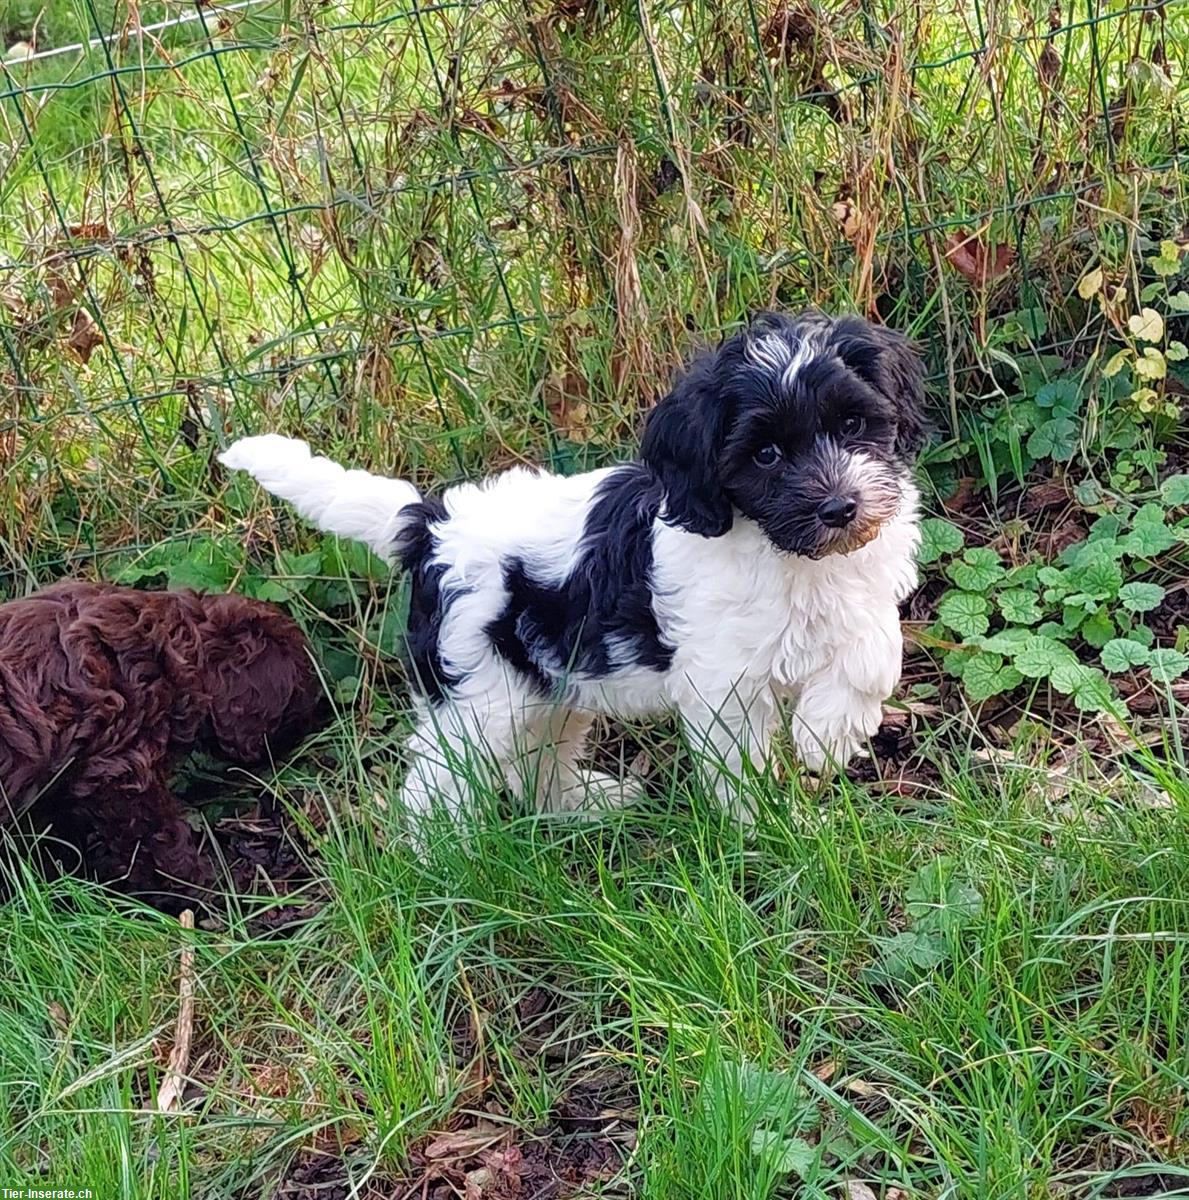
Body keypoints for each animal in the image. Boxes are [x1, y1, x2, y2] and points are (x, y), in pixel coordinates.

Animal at [225, 309, 931, 820]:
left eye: (852, 423)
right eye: (765, 455)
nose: (840, 507)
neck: (788, 551)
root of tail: (430, 525)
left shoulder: (861, 595)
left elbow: (873, 652)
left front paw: (826, 733)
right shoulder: (722, 680)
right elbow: (740, 758)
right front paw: (771, 821)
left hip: (550, 684)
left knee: (539, 756)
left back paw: (580, 805)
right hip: (477, 696)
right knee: (439, 775)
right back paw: (442, 860)